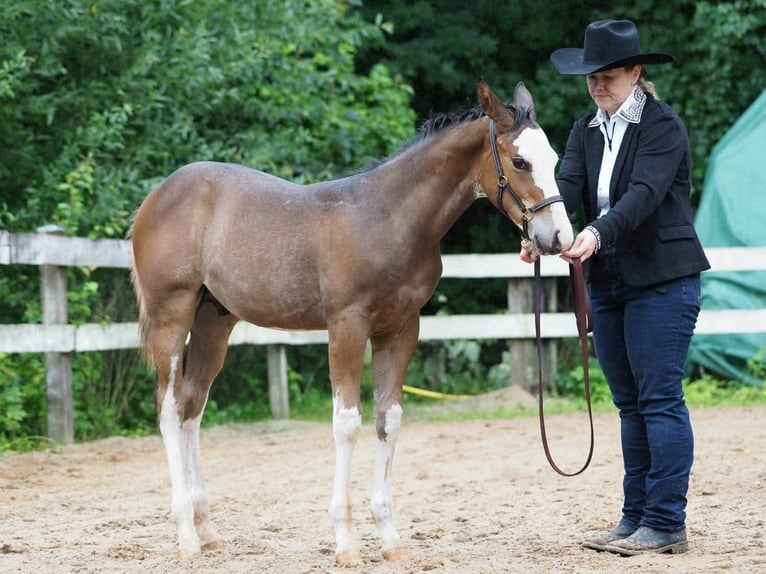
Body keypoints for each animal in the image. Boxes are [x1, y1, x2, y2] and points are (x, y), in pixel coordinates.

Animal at [130, 80, 573, 564]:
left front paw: (390, 538)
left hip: (214, 319)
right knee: (169, 407)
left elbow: (389, 418)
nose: (559, 238)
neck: (390, 220)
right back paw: (186, 536)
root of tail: (156, 197)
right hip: (172, 315)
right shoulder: (347, 326)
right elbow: (347, 422)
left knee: (193, 406)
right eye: (519, 161)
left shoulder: (400, 330)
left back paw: (206, 529)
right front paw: (345, 541)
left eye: (553, 158)